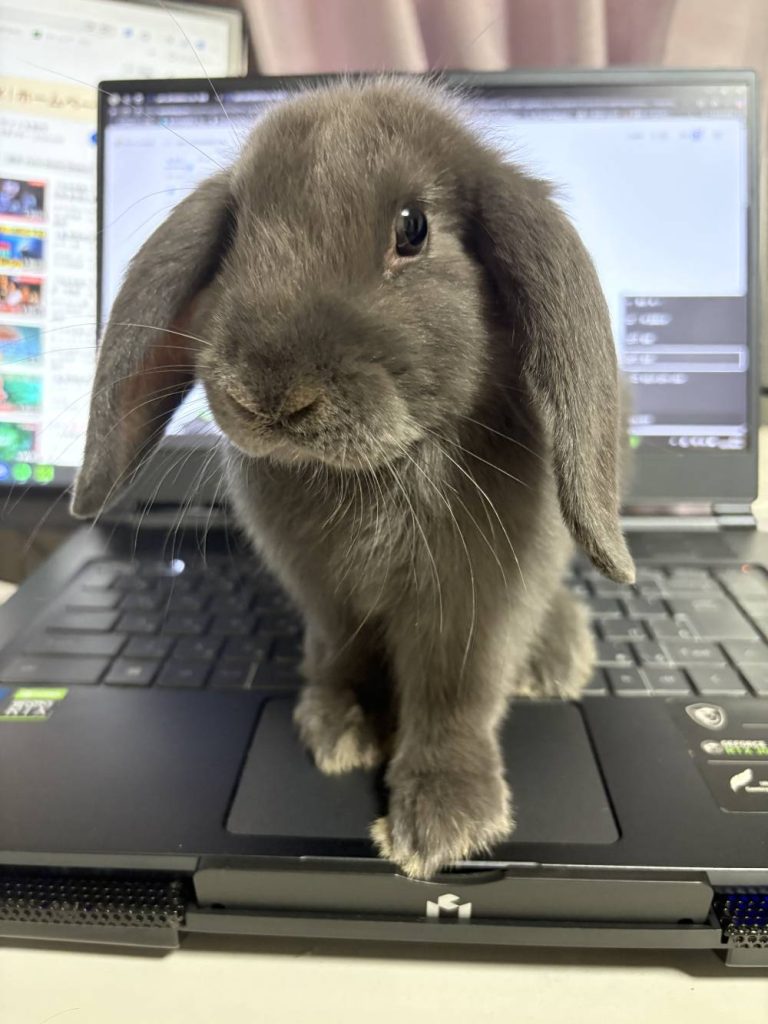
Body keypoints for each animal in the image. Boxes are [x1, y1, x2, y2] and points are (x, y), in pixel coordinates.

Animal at [72, 78, 634, 880]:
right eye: (235, 231)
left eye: (413, 229)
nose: (268, 393)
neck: (372, 471)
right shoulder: (327, 598)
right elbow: (341, 655)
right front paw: (334, 729)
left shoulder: (474, 609)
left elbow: (455, 695)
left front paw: (445, 822)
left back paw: (558, 657)